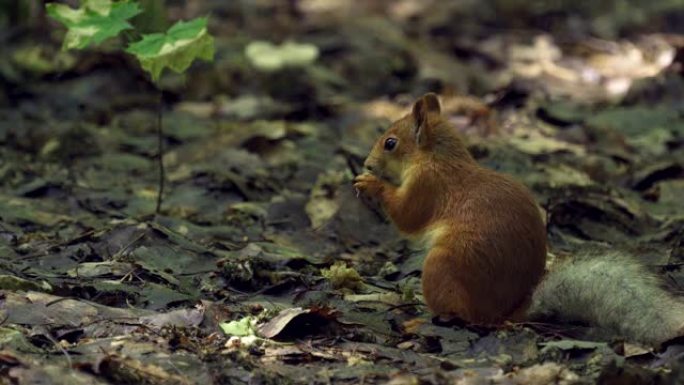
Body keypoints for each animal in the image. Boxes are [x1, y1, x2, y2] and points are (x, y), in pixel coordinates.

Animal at [352, 91, 684, 344]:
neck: (438, 157)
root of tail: (504, 314)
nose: (367, 163)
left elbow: (408, 216)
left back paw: (422, 320)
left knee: (463, 316)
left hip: (443, 266)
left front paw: (371, 184)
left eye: (390, 143)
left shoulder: (428, 185)